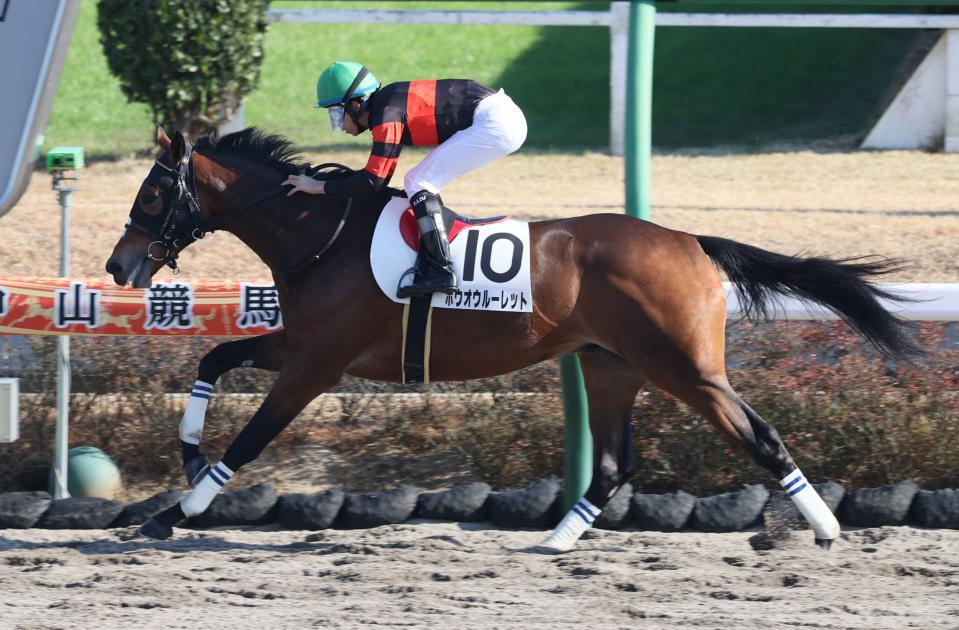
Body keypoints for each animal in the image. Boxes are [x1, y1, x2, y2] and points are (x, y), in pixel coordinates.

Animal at [105, 127, 919, 550]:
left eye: (152, 191)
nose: (118, 266)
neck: (323, 234)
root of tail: (690, 240)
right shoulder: (301, 344)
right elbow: (215, 356)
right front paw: (185, 454)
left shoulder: (317, 365)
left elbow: (249, 441)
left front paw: (175, 512)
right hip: (611, 364)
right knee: (614, 462)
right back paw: (556, 541)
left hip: (685, 368)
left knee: (760, 436)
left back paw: (824, 527)